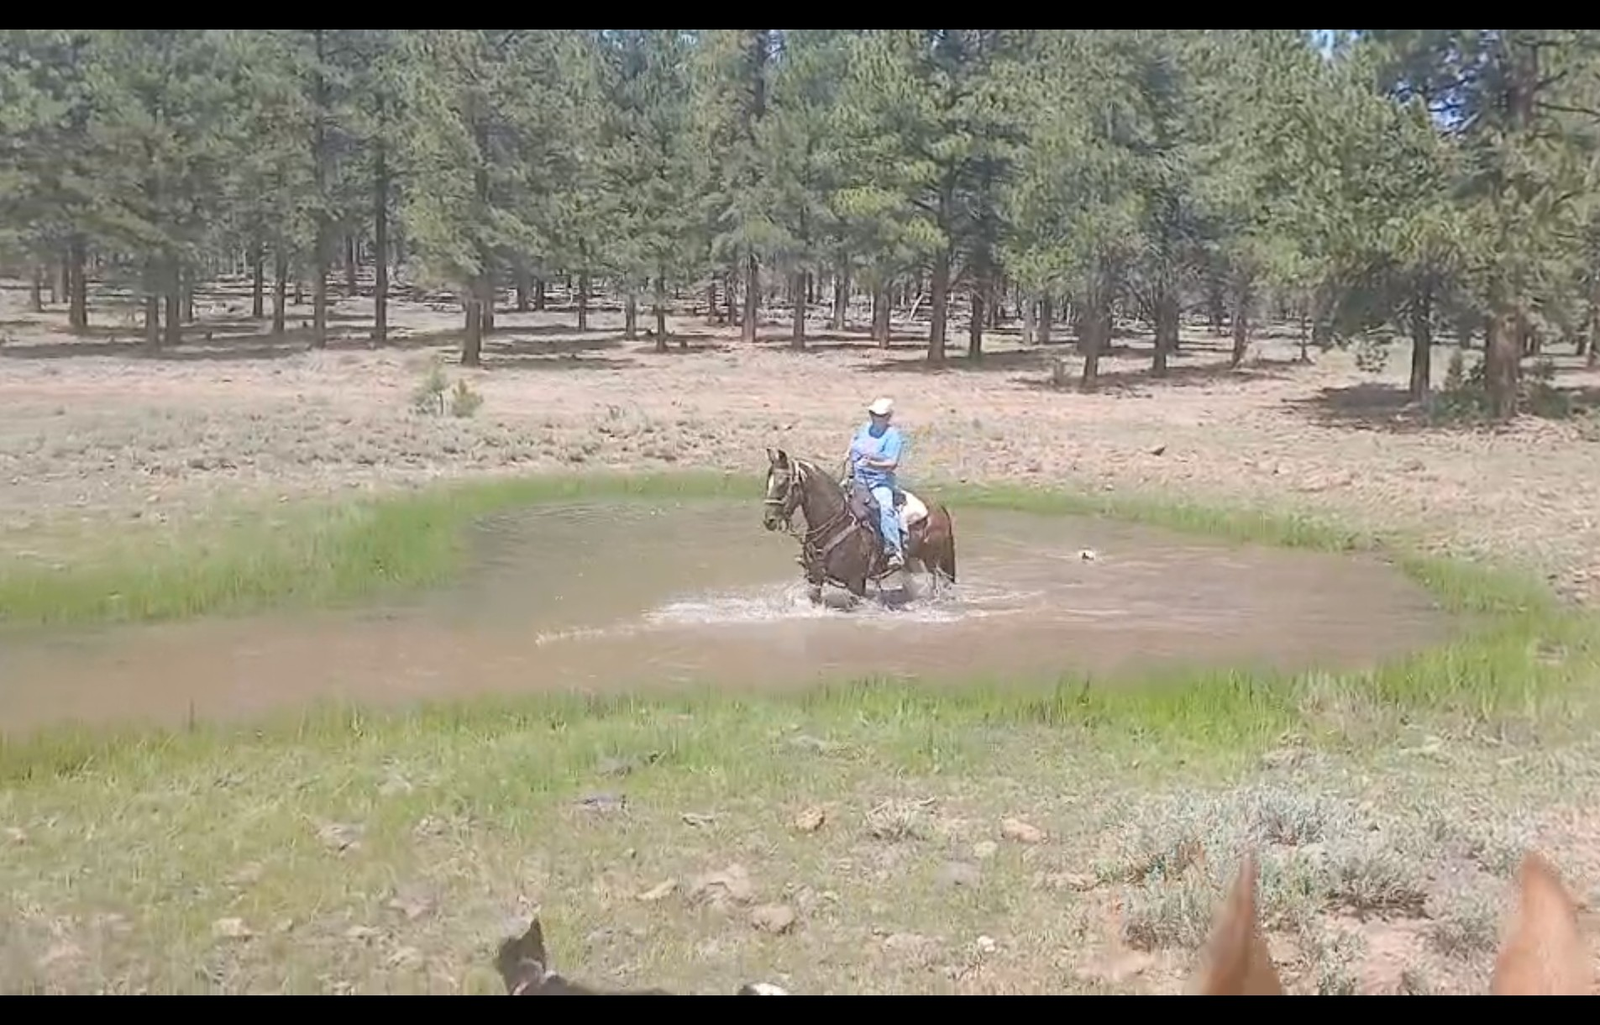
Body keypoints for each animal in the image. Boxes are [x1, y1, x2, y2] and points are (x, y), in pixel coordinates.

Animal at [761, 446, 957, 606]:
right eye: (768, 481)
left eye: (783, 482)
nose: (769, 520)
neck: (836, 523)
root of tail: (939, 508)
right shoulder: (815, 579)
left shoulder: (855, 583)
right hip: (912, 561)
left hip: (933, 562)